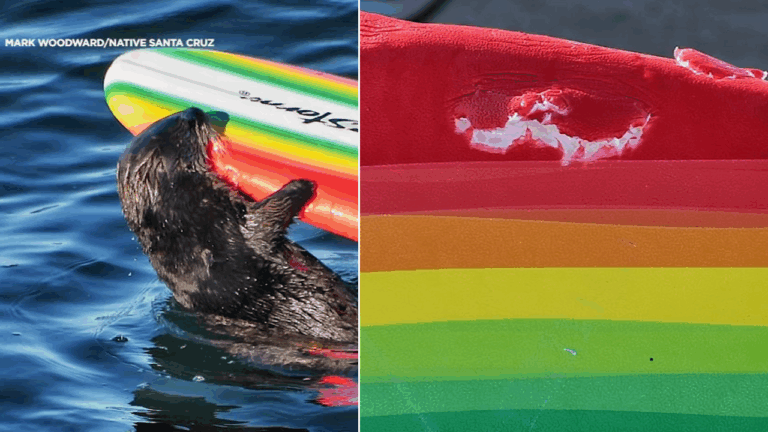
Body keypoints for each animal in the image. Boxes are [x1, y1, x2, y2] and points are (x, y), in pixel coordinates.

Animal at [116, 107, 358, 344]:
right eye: (185, 124)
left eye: (175, 113)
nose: (196, 111)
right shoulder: (220, 226)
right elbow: (265, 221)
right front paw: (303, 184)